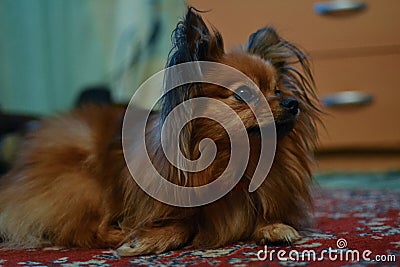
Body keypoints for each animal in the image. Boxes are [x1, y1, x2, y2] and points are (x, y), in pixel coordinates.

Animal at [0, 7, 320, 256]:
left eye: (277, 91)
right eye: (244, 93)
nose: (292, 103)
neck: (232, 163)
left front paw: (275, 227)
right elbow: (182, 226)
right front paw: (145, 239)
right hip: (85, 185)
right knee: (83, 230)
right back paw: (120, 232)